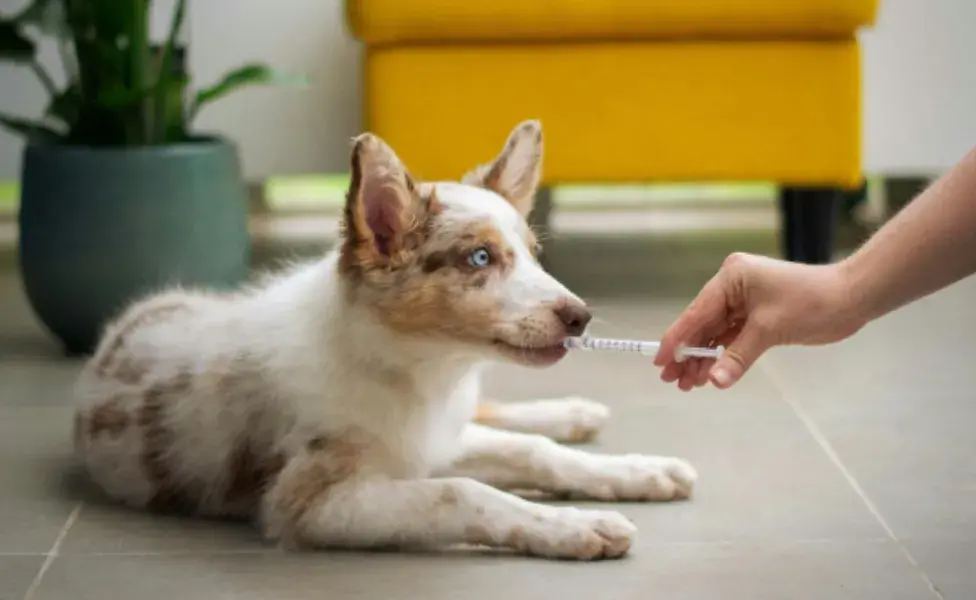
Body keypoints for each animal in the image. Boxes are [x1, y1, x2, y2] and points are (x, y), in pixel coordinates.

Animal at [72, 119, 696, 560]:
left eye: (534, 255)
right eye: (480, 258)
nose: (580, 318)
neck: (416, 369)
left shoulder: (433, 438)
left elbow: (533, 452)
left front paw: (637, 472)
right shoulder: (313, 502)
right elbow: (464, 492)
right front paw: (577, 526)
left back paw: (576, 414)